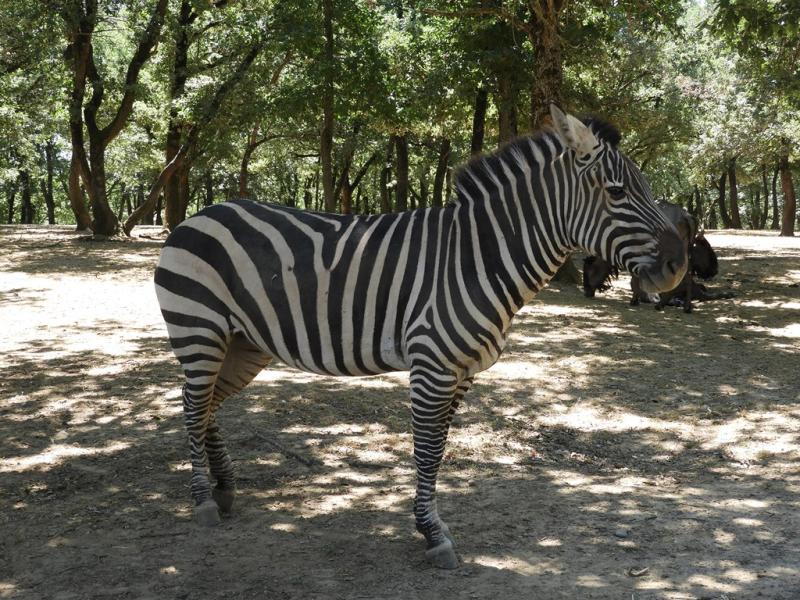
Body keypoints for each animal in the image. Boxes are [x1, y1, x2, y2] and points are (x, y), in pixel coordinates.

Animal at [154, 105, 687, 569]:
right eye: (616, 192)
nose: (677, 268)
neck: (479, 256)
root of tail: (197, 215)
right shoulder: (432, 366)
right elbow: (428, 450)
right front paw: (433, 534)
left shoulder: (462, 371)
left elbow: (441, 448)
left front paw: (429, 524)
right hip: (200, 332)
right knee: (192, 406)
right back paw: (203, 502)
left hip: (245, 343)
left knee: (209, 406)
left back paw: (225, 487)